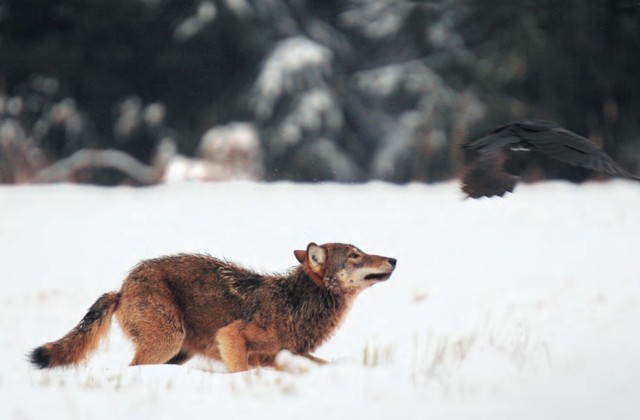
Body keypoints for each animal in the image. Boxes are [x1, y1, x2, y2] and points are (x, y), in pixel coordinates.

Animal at [31, 241, 400, 372]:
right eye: (355, 254)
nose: (394, 259)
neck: (295, 302)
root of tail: (120, 289)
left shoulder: (284, 355)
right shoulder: (232, 335)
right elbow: (240, 371)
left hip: (179, 352)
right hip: (169, 341)